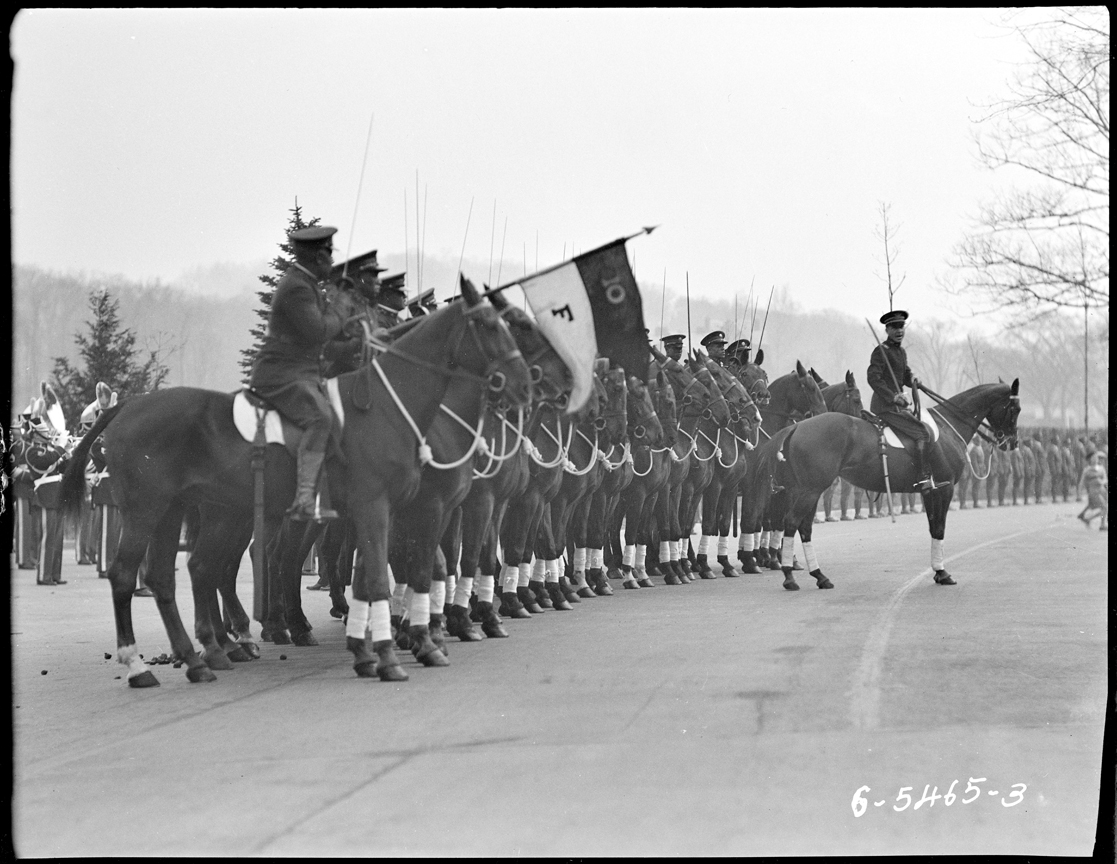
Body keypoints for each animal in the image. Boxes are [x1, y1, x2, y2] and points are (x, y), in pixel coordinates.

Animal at [60, 279, 531, 692]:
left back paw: (201, 658)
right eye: (490, 323)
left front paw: (375, 650)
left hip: (178, 512)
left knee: (173, 575)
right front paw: (397, 652)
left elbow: (383, 576)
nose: (526, 383)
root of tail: (128, 405)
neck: (392, 406)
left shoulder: (395, 512)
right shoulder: (390, 508)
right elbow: (393, 574)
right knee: (133, 574)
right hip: (149, 511)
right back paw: (144, 664)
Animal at [741, 381, 1023, 593]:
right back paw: (790, 576)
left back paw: (819, 576)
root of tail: (798, 425)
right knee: (791, 523)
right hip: (810, 491)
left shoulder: (930, 492)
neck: (947, 428)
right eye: (1014, 408)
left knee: (803, 527)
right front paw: (942, 573)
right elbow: (940, 528)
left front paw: (937, 571)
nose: (1012, 442)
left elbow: (934, 528)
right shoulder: (944, 489)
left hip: (807, 490)